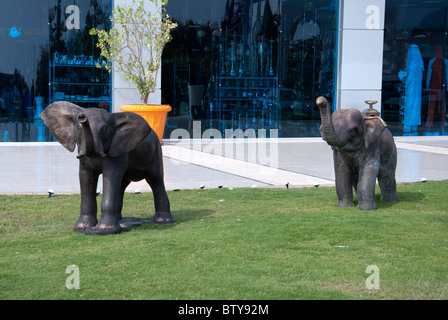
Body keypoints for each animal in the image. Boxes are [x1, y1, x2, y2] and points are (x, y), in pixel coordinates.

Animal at [41, 102, 175, 235]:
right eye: (78, 127)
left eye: (104, 129)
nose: (82, 117)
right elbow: (86, 177)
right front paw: (81, 227)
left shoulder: (117, 151)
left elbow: (111, 175)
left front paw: (104, 230)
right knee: (122, 185)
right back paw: (120, 221)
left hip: (156, 152)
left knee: (155, 180)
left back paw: (163, 220)